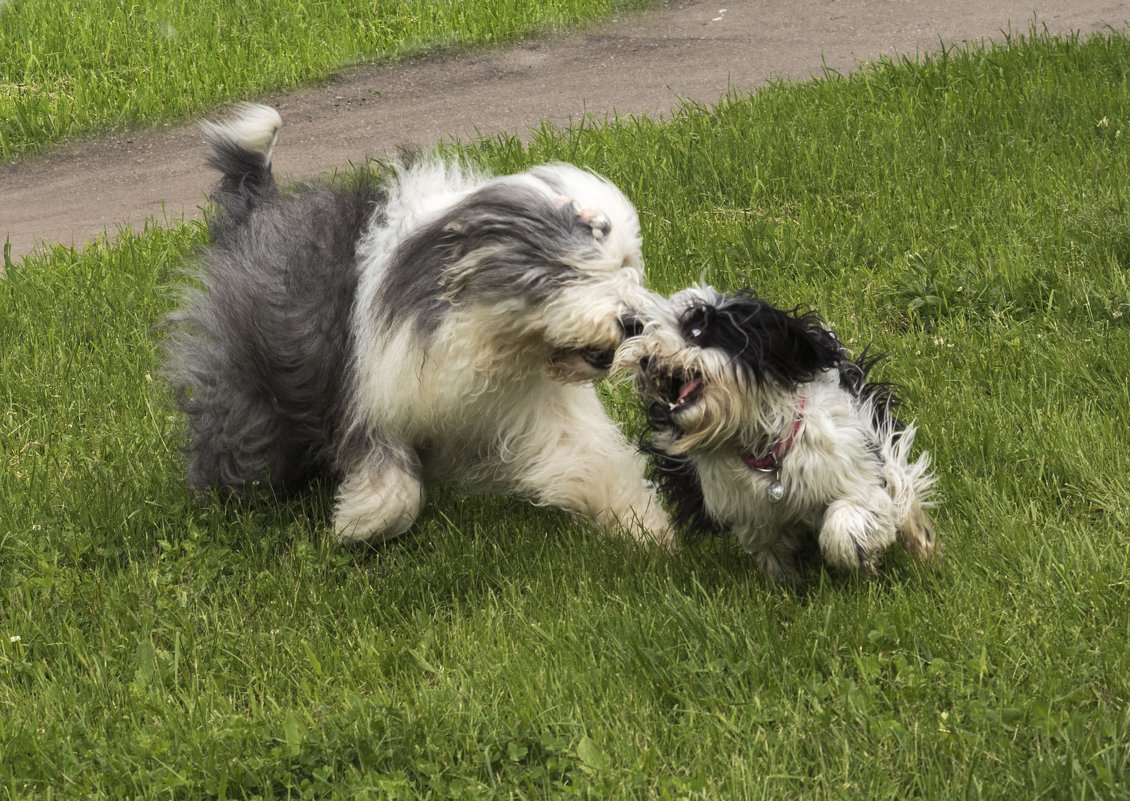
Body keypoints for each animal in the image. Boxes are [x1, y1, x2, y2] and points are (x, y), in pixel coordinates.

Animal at [161, 103, 668, 546]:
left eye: (626, 266)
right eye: (577, 270)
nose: (632, 323)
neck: (482, 330)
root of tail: (257, 207)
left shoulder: (531, 399)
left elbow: (588, 456)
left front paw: (644, 527)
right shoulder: (366, 384)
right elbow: (388, 473)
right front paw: (362, 523)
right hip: (250, 371)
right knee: (239, 428)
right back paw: (226, 494)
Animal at [619, 284, 935, 578]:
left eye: (696, 330)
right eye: (648, 330)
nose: (644, 359)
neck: (766, 451)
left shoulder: (854, 472)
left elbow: (848, 522)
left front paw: (860, 554)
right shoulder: (755, 518)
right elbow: (775, 558)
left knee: (900, 482)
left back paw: (921, 543)